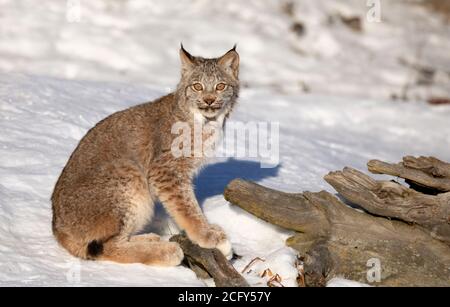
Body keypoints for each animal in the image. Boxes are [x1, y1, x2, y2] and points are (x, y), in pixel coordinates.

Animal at [52, 46, 239, 268]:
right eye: (197, 86)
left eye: (220, 86)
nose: (209, 100)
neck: (207, 122)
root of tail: (56, 227)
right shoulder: (165, 171)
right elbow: (186, 208)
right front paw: (208, 237)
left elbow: (188, 205)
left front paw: (209, 231)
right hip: (130, 173)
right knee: (109, 247)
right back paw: (166, 251)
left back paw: (150, 238)